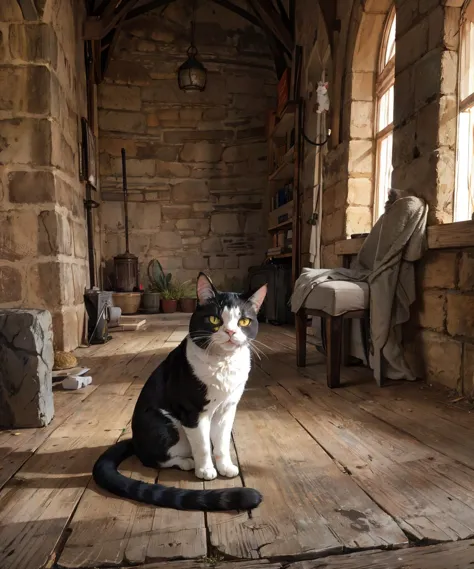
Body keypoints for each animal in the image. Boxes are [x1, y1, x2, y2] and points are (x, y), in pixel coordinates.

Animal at [93, 270, 266, 510]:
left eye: (244, 321)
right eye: (215, 319)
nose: (231, 331)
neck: (223, 365)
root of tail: (135, 440)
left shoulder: (228, 408)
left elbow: (222, 442)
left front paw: (225, 467)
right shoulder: (191, 411)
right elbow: (202, 444)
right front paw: (206, 470)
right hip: (162, 424)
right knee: (153, 459)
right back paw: (186, 462)